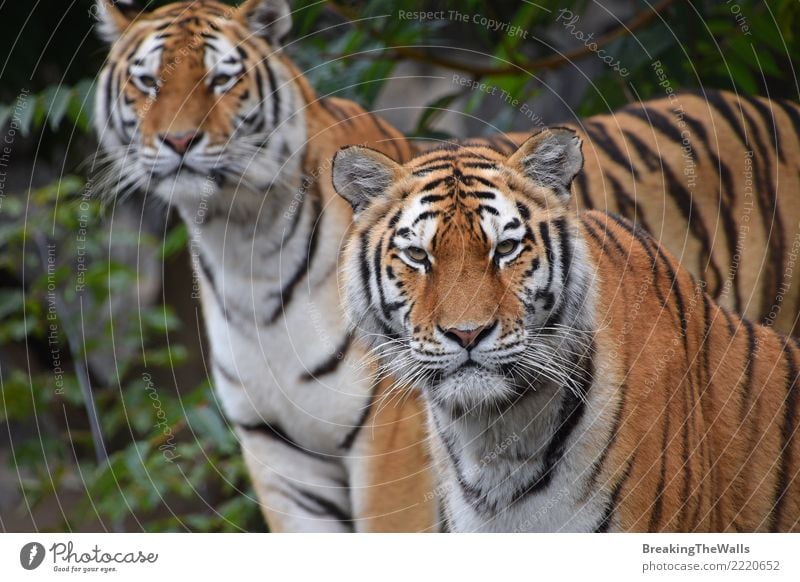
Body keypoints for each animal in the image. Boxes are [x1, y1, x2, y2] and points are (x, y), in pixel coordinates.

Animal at [92, 0, 438, 532]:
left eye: (220, 79)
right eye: (148, 82)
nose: (178, 140)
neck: (242, 244)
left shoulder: (395, 435)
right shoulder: (276, 449)